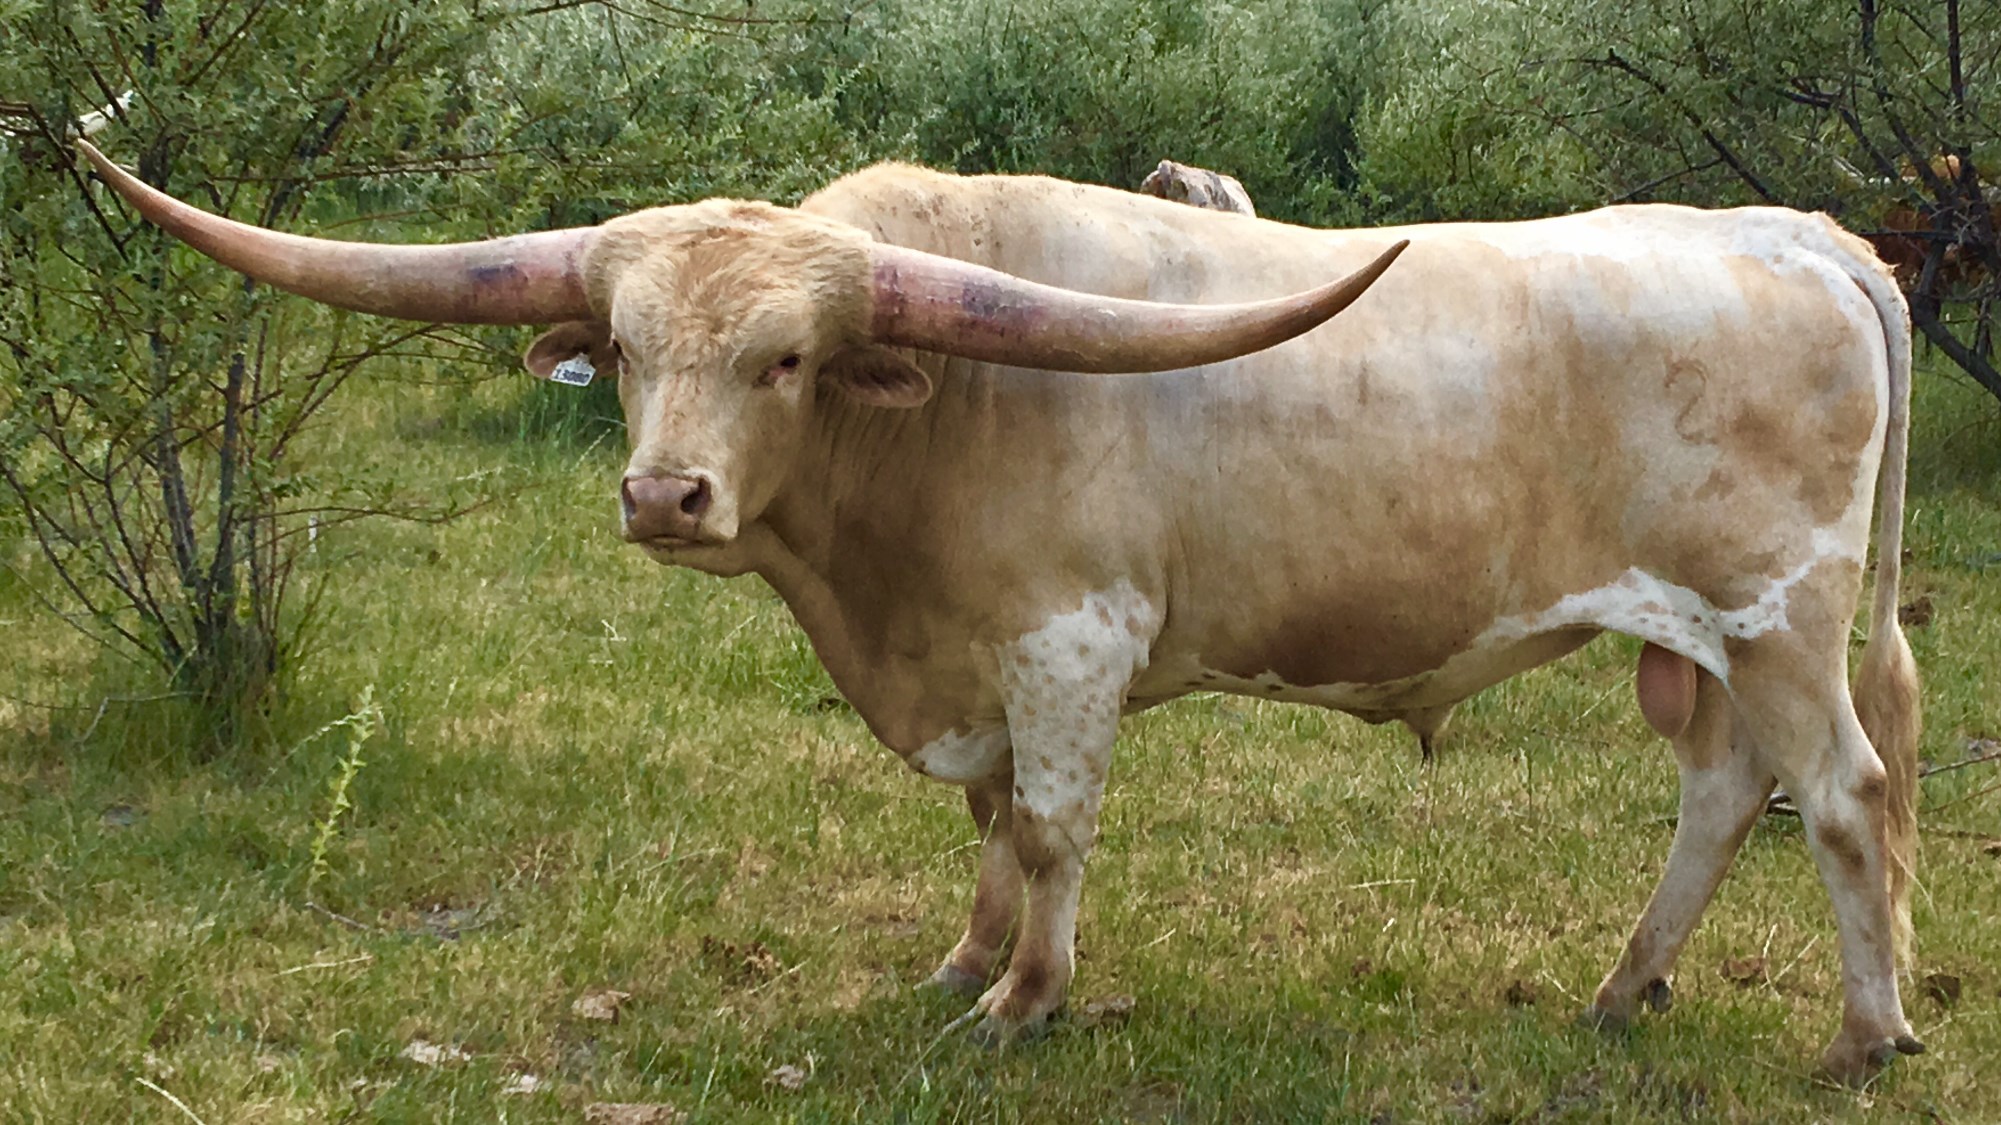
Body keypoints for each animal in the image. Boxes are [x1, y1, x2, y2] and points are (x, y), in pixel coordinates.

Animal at [77, 140, 1923, 1084]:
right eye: (629, 354)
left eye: (788, 358)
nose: (665, 499)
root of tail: (1802, 235)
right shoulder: (971, 659)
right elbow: (980, 824)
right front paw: (960, 958)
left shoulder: (1065, 647)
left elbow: (1045, 827)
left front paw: (1024, 999)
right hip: (1705, 642)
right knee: (1724, 794)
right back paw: (1625, 989)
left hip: (1779, 616)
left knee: (1841, 798)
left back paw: (1865, 1032)